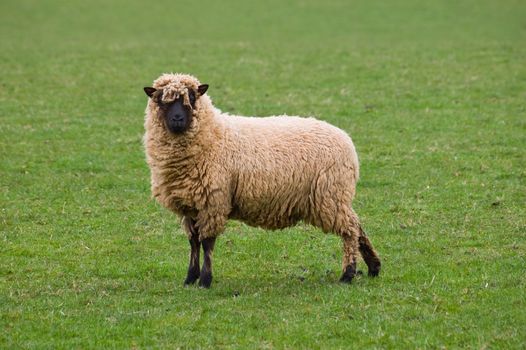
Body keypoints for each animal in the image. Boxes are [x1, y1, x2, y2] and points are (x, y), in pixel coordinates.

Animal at [143, 73, 384, 288]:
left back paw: (348, 274)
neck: (214, 134)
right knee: (357, 225)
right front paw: (190, 279)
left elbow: (207, 243)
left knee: (350, 230)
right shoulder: (191, 204)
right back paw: (373, 267)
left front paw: (204, 280)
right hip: (336, 197)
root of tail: (347, 140)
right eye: (161, 100)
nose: (177, 119)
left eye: (191, 98)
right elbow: (193, 242)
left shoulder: (214, 201)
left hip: (330, 195)